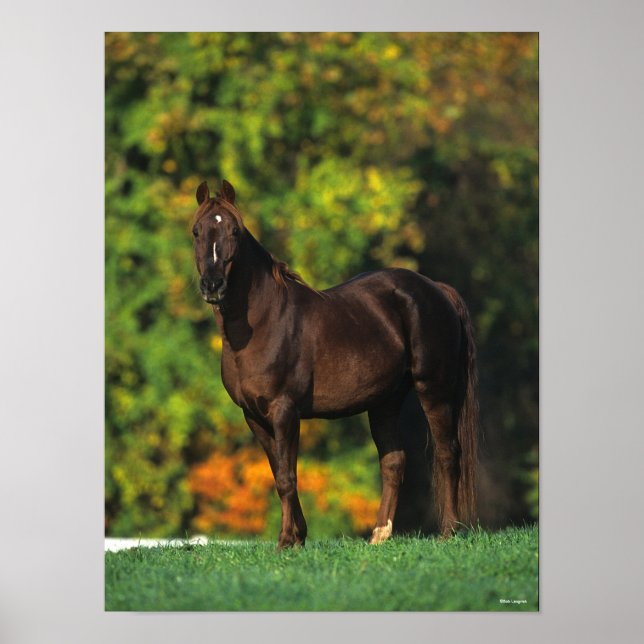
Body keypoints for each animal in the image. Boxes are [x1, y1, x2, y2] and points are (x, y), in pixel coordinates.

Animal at [192, 179, 479, 549]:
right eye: (197, 231)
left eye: (235, 231)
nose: (213, 285)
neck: (263, 323)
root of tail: (436, 289)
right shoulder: (253, 416)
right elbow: (279, 473)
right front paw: (297, 537)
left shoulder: (284, 411)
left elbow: (287, 476)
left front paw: (287, 541)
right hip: (385, 401)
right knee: (393, 462)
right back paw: (379, 535)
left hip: (435, 391)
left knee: (447, 454)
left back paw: (448, 533)